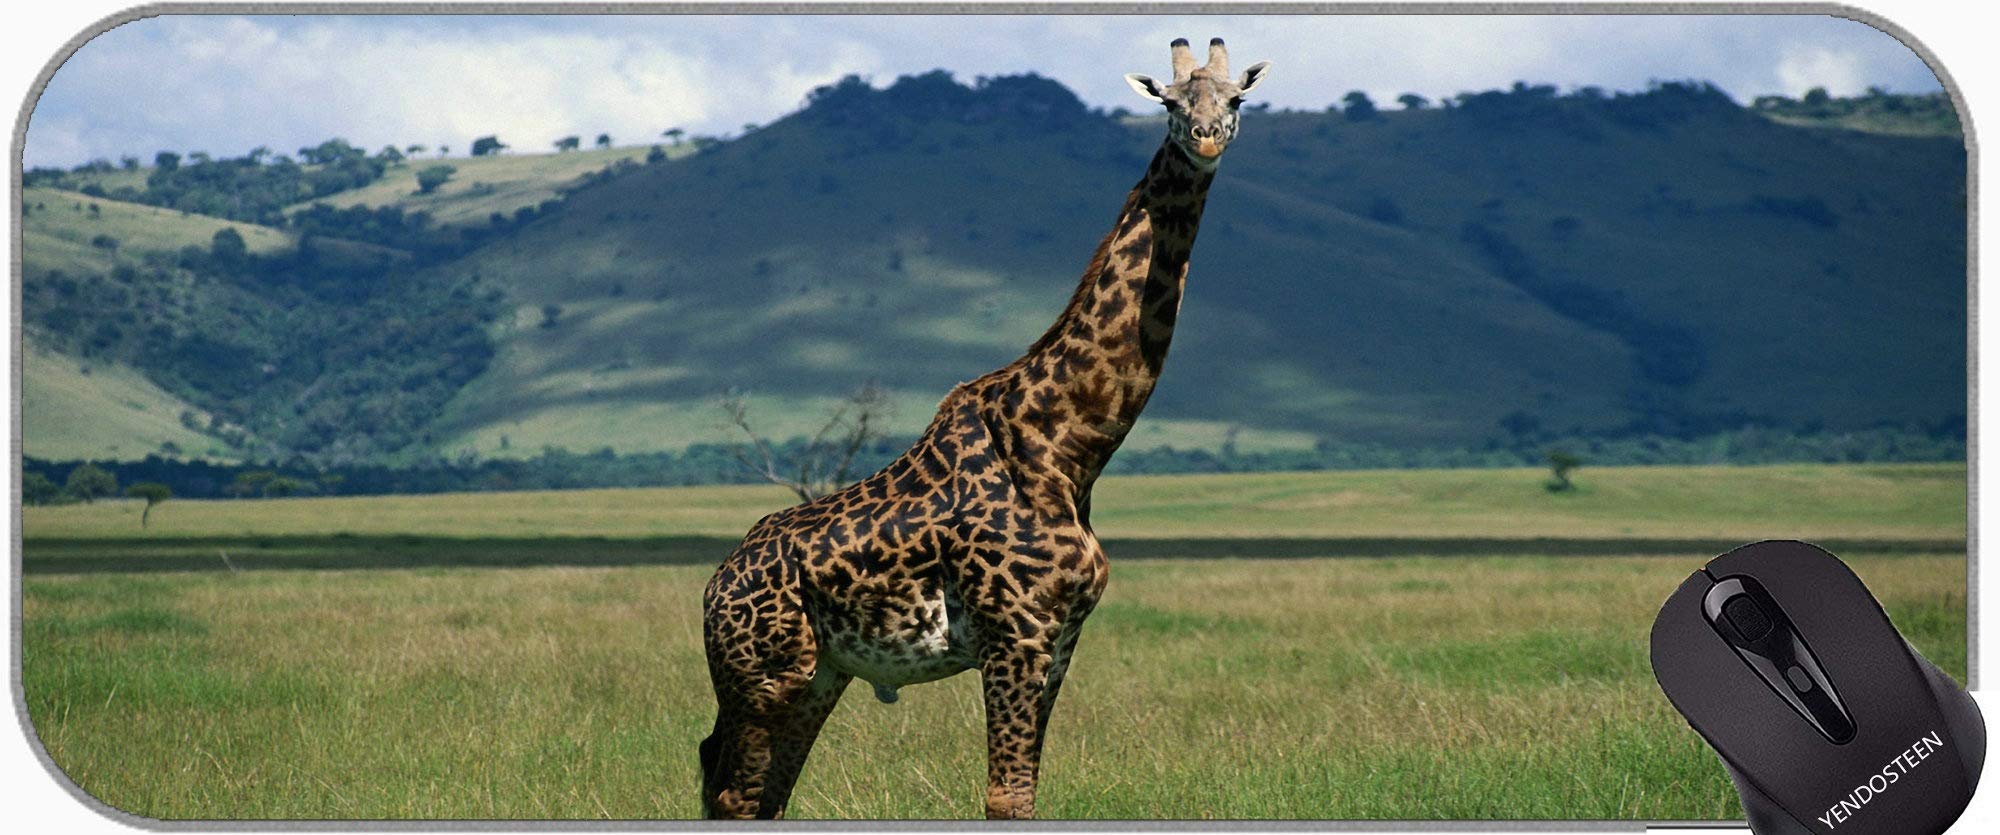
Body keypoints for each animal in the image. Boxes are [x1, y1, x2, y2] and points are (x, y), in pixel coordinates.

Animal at [699, 38, 1271, 820]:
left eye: (1235, 98)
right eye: (1170, 102)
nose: (1206, 139)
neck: (1070, 445)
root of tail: (712, 587)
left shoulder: (1060, 641)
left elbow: (1026, 789)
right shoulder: (1015, 635)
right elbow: (1006, 798)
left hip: (819, 675)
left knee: (754, 787)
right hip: (766, 674)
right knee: (736, 793)